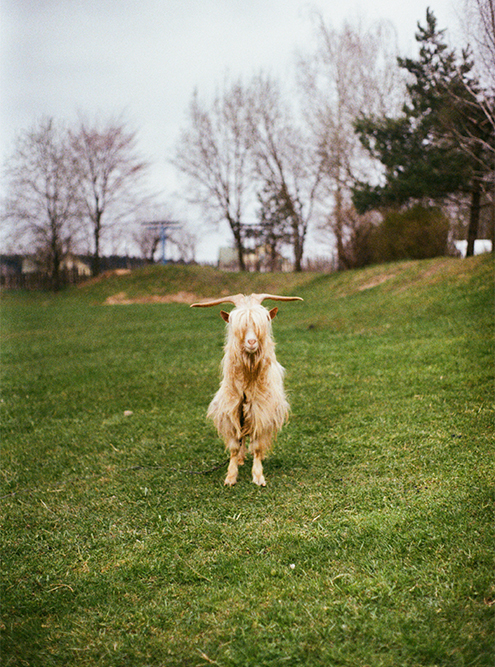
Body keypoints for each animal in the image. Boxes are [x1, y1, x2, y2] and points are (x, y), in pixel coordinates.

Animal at [192, 292, 302, 486]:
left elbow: (257, 444)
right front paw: (230, 476)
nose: (251, 342)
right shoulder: (230, 411)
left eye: (262, 322)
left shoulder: (261, 410)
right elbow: (234, 446)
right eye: (237, 325)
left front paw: (258, 476)